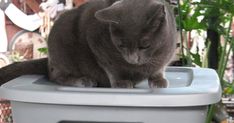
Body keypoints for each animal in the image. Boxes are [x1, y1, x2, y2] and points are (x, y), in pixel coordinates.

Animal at [0, 0, 176, 88]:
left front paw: (158, 80)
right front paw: (121, 83)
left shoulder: (165, 55)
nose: (132, 59)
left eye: (145, 46)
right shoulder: (96, 42)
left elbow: (159, 68)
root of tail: (49, 60)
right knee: (55, 76)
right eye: (120, 45)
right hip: (60, 48)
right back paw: (83, 81)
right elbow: (112, 68)